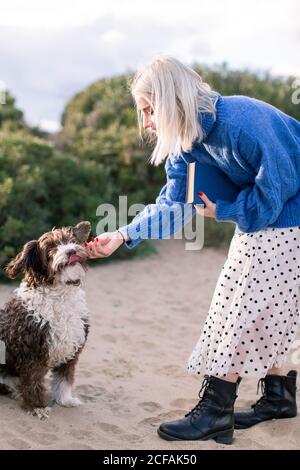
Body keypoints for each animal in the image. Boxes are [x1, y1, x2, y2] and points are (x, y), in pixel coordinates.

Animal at [0, 220, 91, 418]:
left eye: (72, 240)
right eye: (51, 248)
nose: (71, 251)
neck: (60, 294)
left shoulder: (71, 351)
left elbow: (64, 378)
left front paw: (65, 399)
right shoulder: (32, 353)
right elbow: (33, 381)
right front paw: (37, 406)